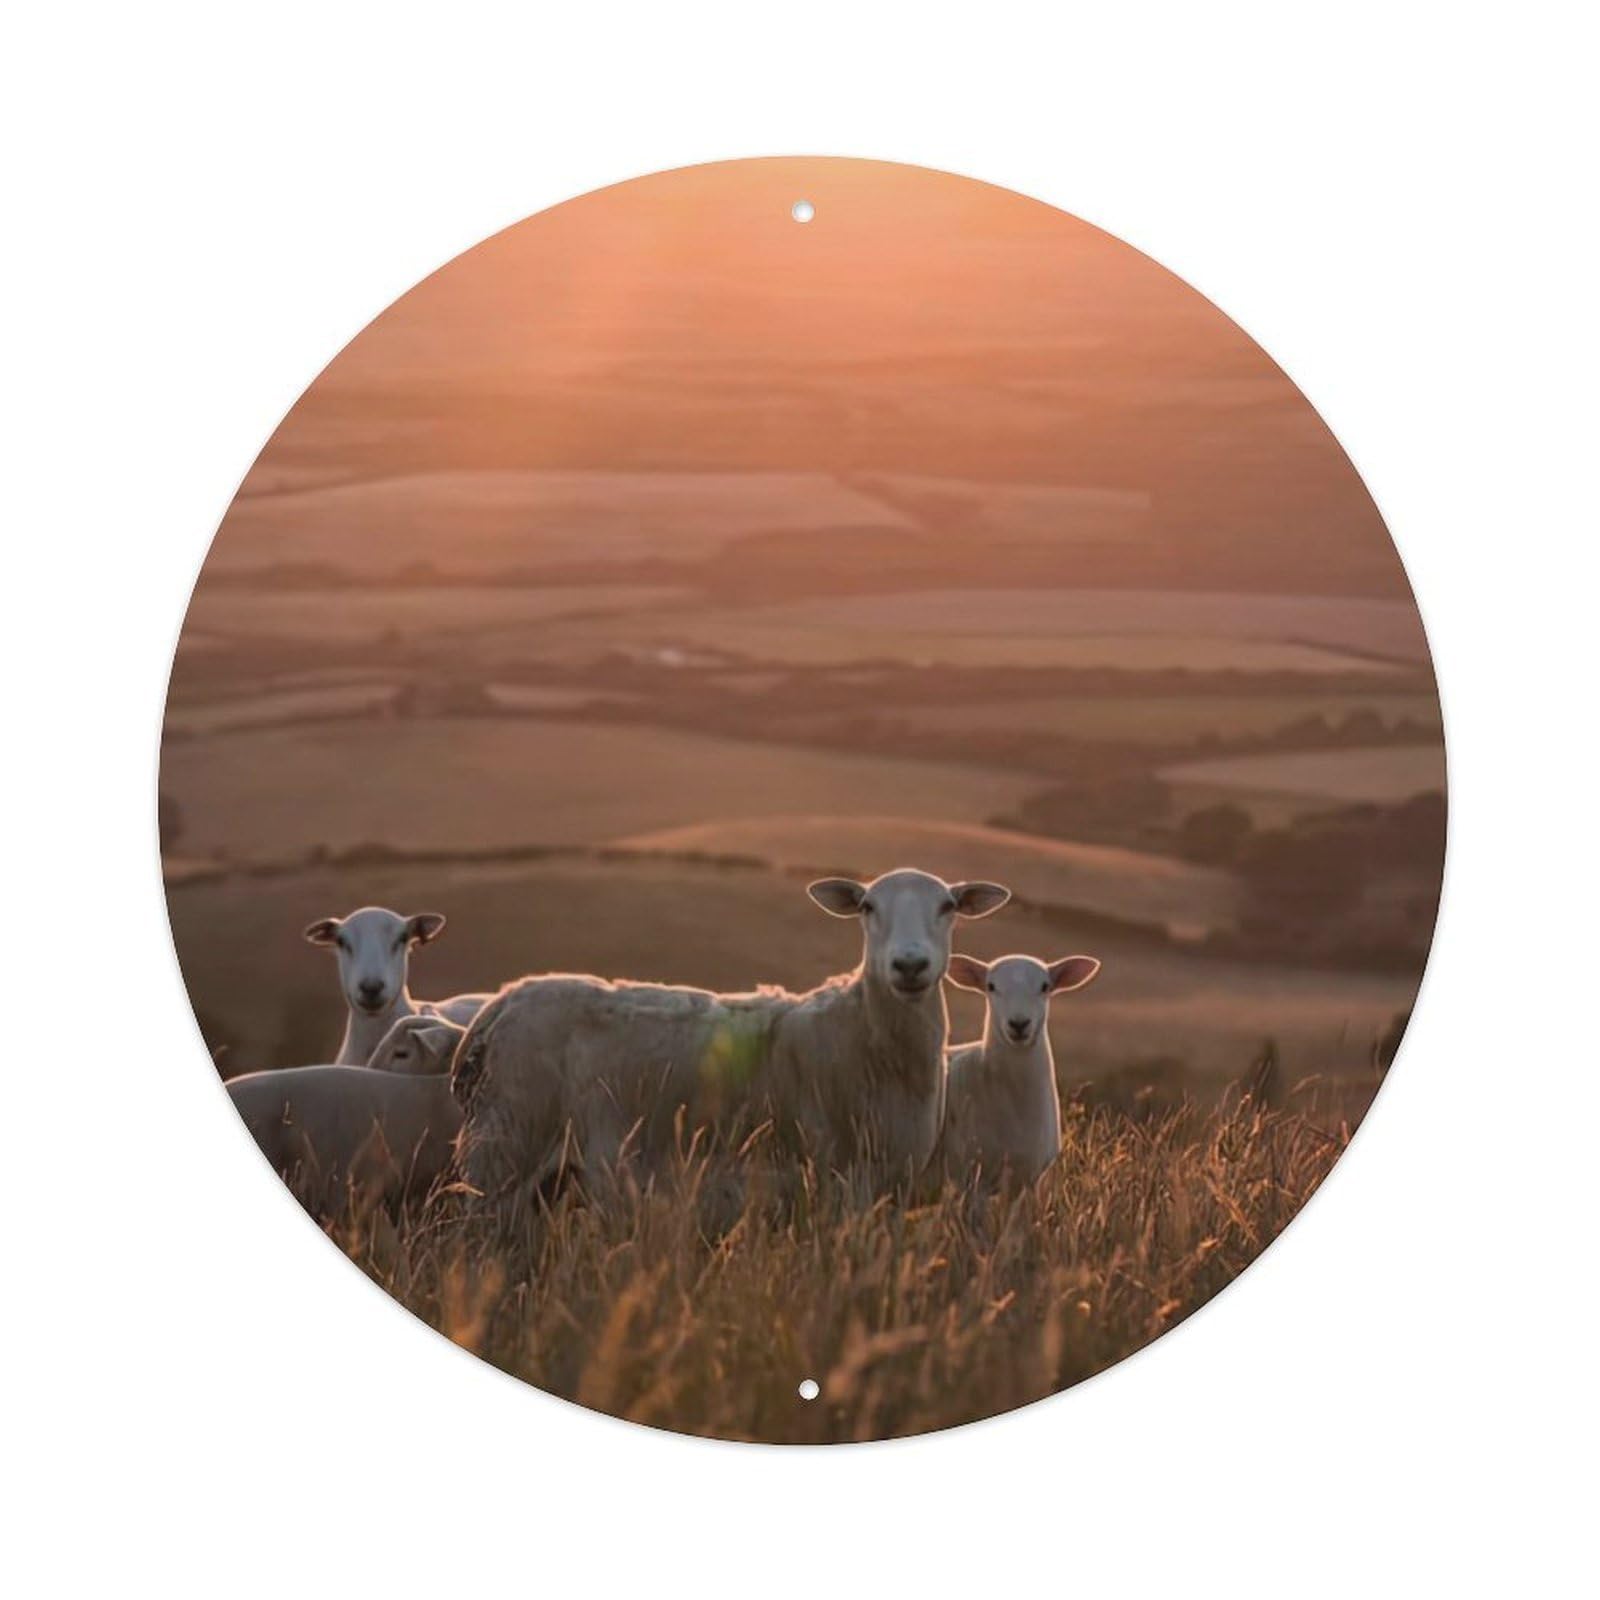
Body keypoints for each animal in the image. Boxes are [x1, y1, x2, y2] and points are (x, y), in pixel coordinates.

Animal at [453, 868, 1011, 1207]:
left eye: (948, 906)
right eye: (868, 907)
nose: (910, 965)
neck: (870, 1039)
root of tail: (502, 1002)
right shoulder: (833, 1176)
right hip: (503, 1150)